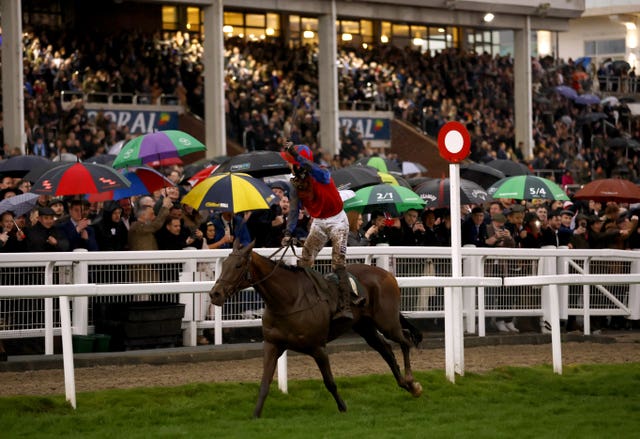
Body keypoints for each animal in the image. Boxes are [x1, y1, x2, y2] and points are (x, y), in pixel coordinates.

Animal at [208, 241, 422, 420]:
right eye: (224, 264)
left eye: (238, 265)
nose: (214, 294)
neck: (288, 300)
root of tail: (387, 274)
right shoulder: (272, 344)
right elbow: (264, 383)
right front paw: (255, 415)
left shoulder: (318, 347)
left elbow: (330, 382)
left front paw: (343, 408)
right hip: (365, 326)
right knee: (386, 349)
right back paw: (406, 385)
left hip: (386, 322)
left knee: (405, 340)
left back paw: (412, 382)